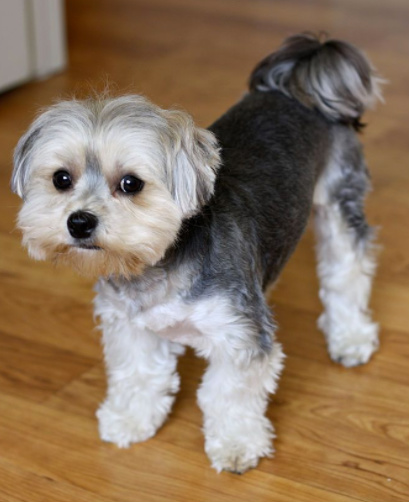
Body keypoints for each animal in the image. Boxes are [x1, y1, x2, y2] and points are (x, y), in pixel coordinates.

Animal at [12, 33, 382, 472]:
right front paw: (130, 420)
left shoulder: (239, 336)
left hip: (340, 201)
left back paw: (350, 338)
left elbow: (228, 395)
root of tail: (295, 81)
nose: (79, 222)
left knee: (347, 271)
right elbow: (139, 376)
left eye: (131, 183)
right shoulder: (131, 327)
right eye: (61, 179)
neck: (158, 264)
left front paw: (237, 444)